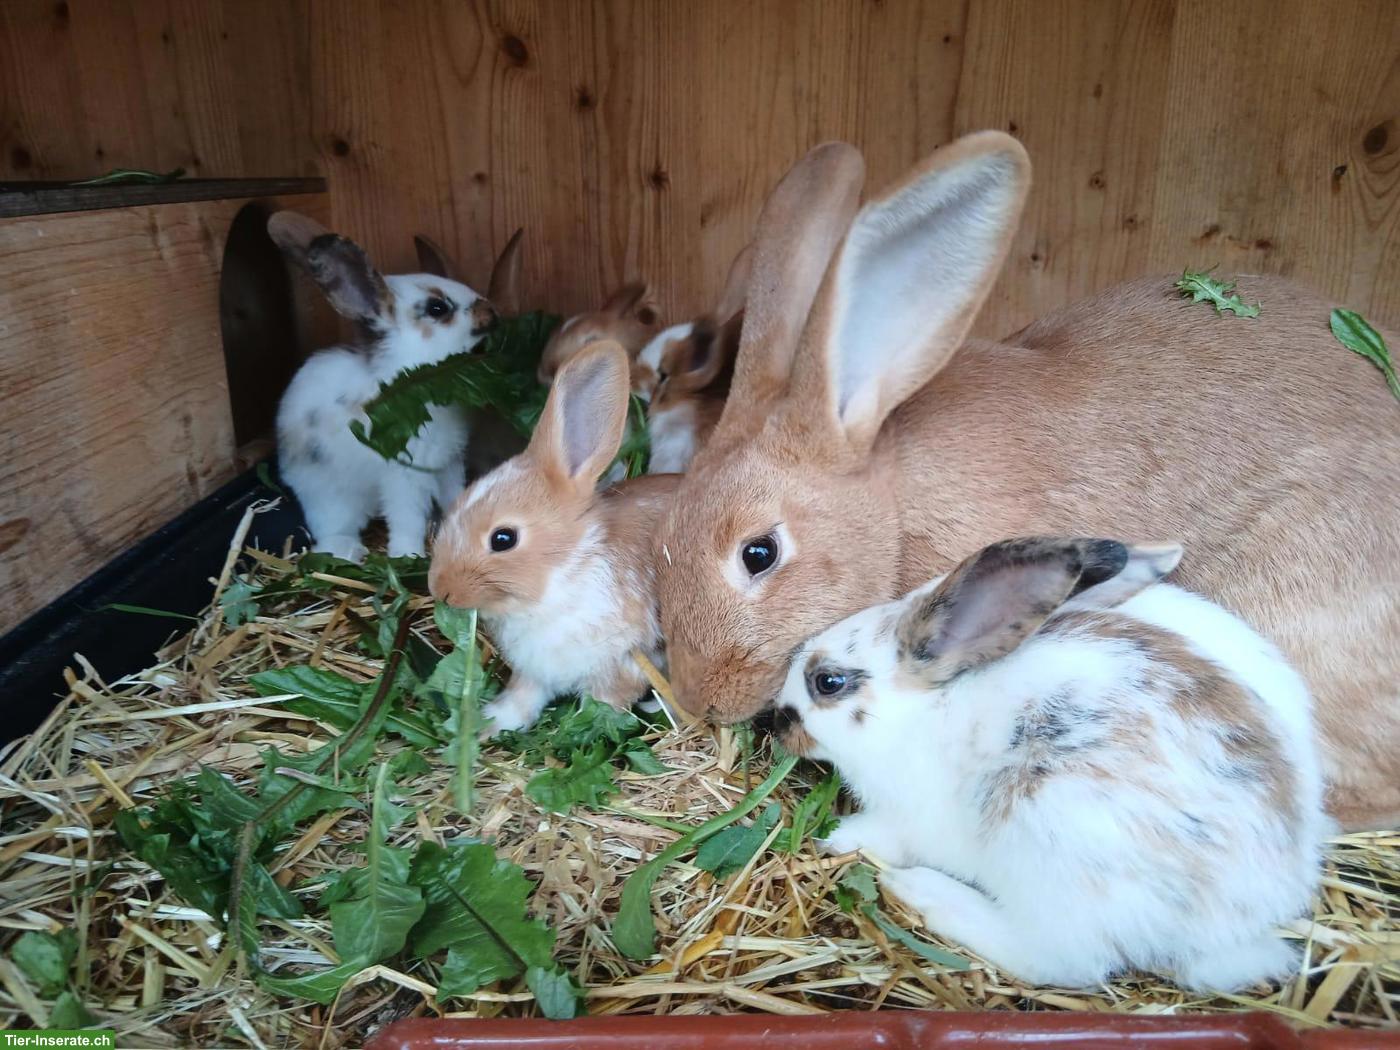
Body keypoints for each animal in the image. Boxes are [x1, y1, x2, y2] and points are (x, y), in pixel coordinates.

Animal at [268, 212, 502, 562]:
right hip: (331, 498)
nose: (492, 313)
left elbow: (454, 496)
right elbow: (407, 518)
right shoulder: (403, 475)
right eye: (437, 308)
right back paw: (345, 550)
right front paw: (408, 556)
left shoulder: (447, 463)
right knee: (332, 530)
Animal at [428, 342, 678, 734]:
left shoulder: (620, 667)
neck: (564, 573)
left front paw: (577, 729)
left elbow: (603, 706)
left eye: (503, 539)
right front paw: (491, 723)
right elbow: (522, 698)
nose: (440, 590)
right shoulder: (533, 671)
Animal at [772, 535, 1326, 992]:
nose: (774, 722)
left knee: (1059, 959)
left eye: (827, 682)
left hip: (1050, 837)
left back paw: (921, 890)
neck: (918, 715)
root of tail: (1245, 920)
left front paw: (838, 839)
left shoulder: (910, 818)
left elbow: (881, 834)